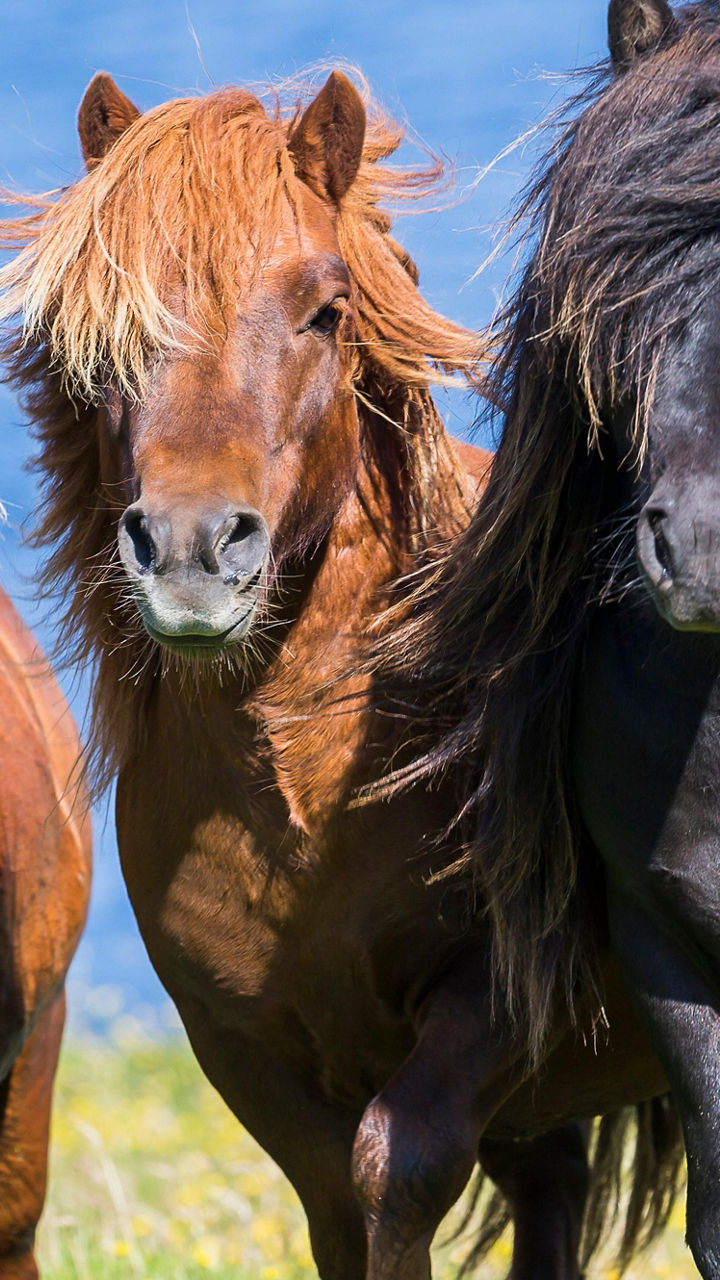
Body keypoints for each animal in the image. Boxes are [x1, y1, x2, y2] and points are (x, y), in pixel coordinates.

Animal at [0, 68, 682, 1279]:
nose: (192, 553)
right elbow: (334, 1205)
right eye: (106, 332)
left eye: (325, 311)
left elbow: (392, 1175)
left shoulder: (491, 1005)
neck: (313, 796)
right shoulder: (245, 1048)